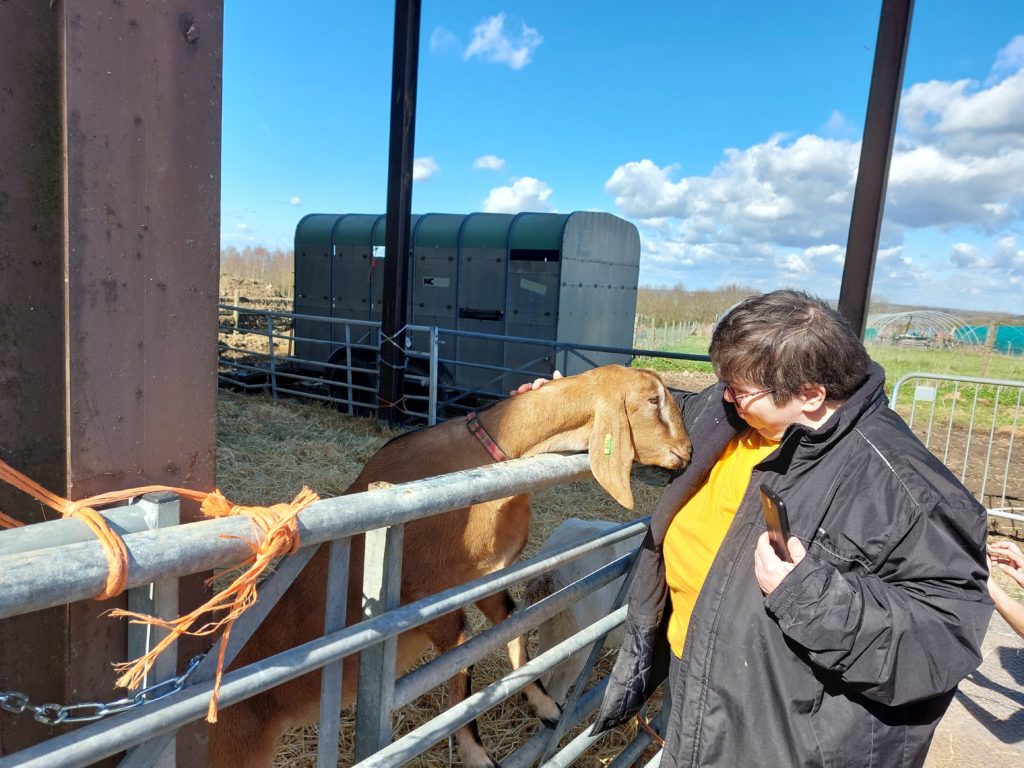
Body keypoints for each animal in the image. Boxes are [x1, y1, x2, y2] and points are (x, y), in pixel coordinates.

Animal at [206, 364, 688, 765]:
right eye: (653, 400)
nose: (687, 450)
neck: (489, 454)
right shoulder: (429, 598)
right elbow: (463, 663)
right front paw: (477, 755)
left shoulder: (487, 579)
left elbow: (513, 634)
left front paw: (547, 706)